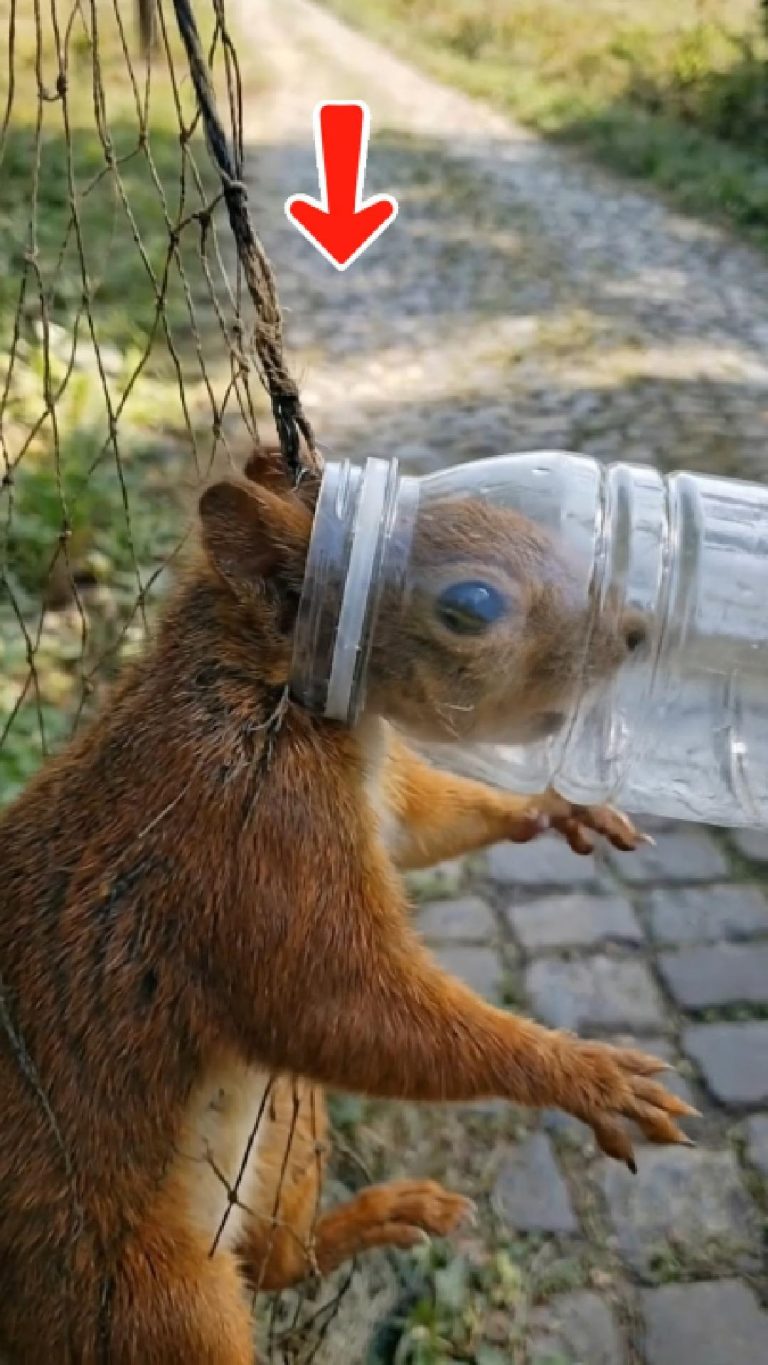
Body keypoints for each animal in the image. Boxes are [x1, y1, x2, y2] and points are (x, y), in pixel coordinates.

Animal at [0, 446, 695, 1363]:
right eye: (471, 605)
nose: (637, 631)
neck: (261, 690)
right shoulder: (249, 836)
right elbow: (333, 1004)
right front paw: (583, 1074)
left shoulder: (376, 798)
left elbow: (423, 820)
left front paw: (552, 805)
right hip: (143, 1299)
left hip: (290, 1133)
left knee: (276, 1263)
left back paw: (377, 1216)